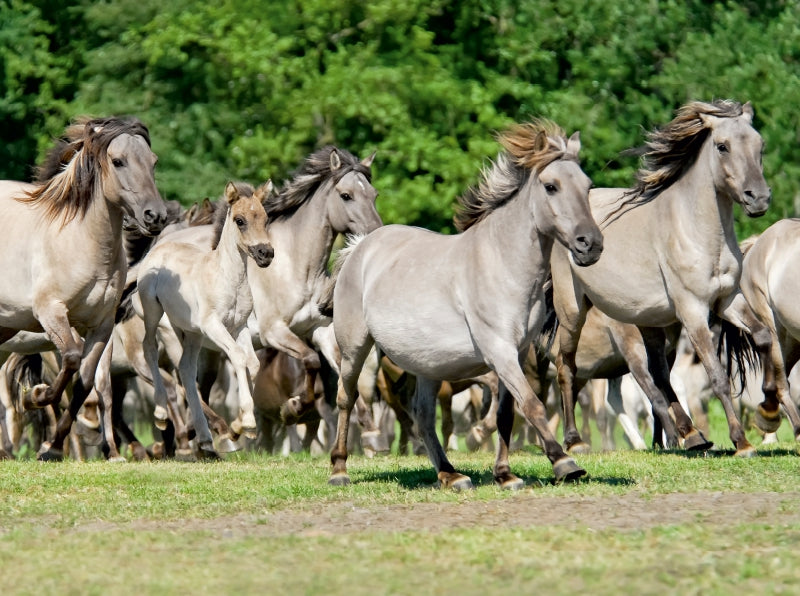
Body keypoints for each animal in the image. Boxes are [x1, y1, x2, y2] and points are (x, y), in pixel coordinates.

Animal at [0, 116, 167, 460]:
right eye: (118, 161)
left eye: (153, 162)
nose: (155, 216)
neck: (80, 241)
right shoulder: (51, 314)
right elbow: (72, 360)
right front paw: (35, 395)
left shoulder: (101, 326)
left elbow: (86, 382)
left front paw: (52, 448)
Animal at [330, 120, 600, 488]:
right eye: (551, 186)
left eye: (587, 186)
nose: (591, 244)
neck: (501, 263)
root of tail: (359, 247)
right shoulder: (499, 351)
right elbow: (532, 405)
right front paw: (564, 461)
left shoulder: (515, 354)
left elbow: (505, 414)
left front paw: (505, 474)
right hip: (355, 347)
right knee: (346, 398)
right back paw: (339, 469)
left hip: (425, 363)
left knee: (423, 414)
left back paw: (450, 474)